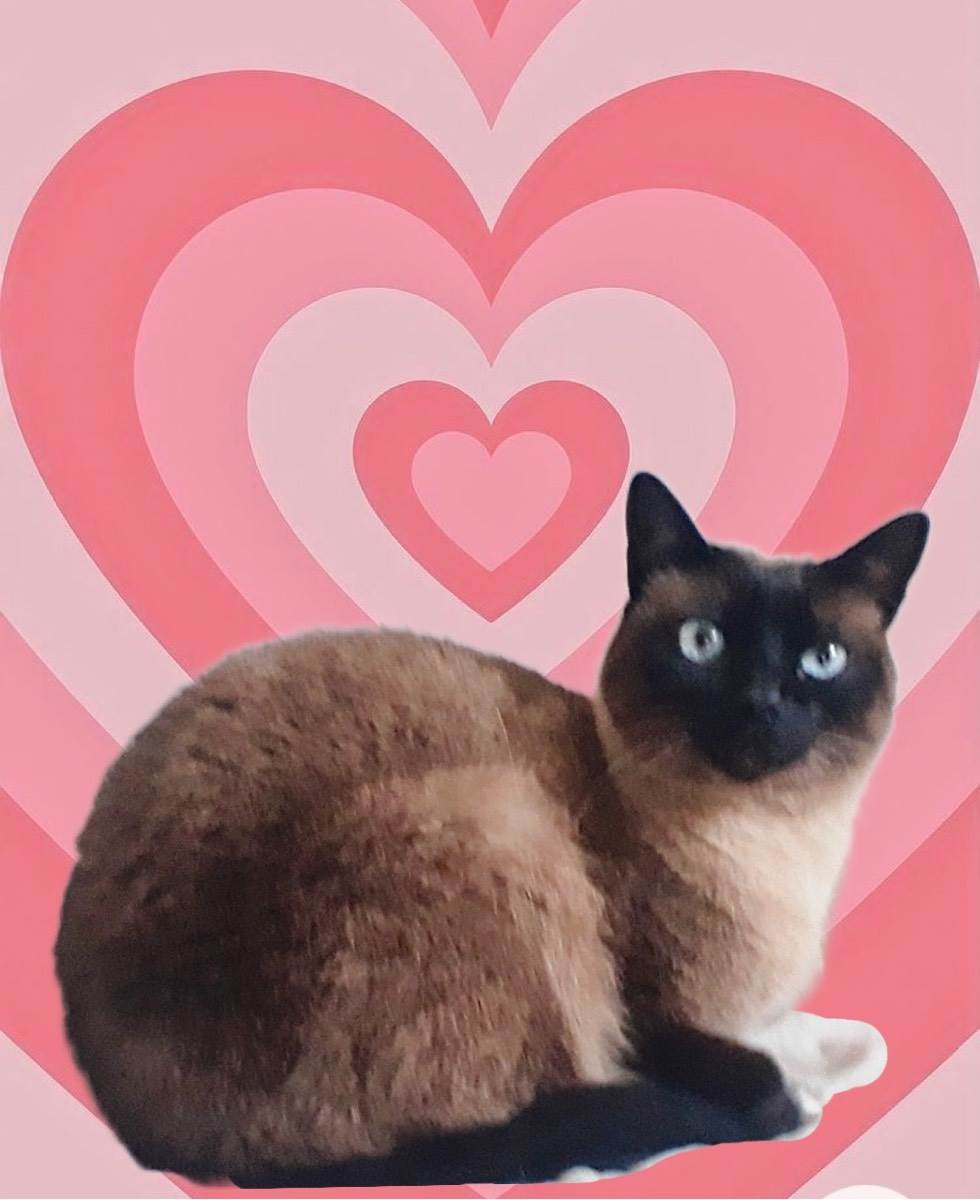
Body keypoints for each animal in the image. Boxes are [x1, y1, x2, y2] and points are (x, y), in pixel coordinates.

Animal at [54, 473, 927, 1186]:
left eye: (821, 659)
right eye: (702, 643)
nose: (761, 704)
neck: (776, 850)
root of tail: (158, 1139)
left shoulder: (764, 1013)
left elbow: (841, 1040)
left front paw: (835, 1057)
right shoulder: (652, 1019)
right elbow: (750, 1072)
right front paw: (793, 1097)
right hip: (495, 815)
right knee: (513, 1125)